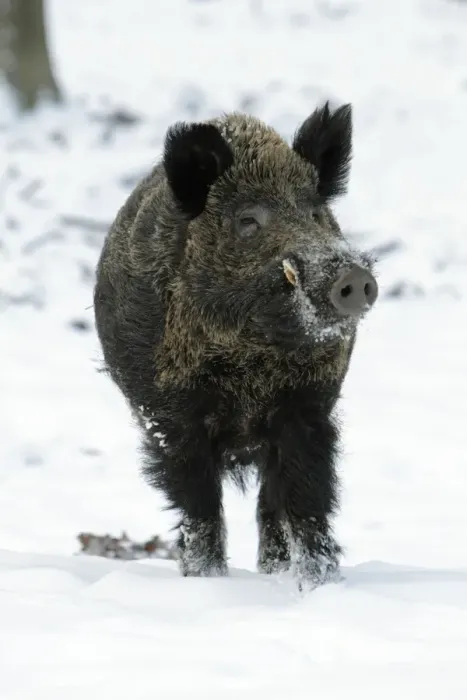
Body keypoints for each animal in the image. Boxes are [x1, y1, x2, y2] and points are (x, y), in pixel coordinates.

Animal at [93, 101, 378, 590]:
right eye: (248, 221)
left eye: (315, 213)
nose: (354, 277)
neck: (250, 363)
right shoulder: (171, 418)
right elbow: (201, 507)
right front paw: (206, 581)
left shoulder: (309, 407)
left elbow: (307, 501)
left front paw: (320, 586)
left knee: (270, 506)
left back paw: (274, 571)